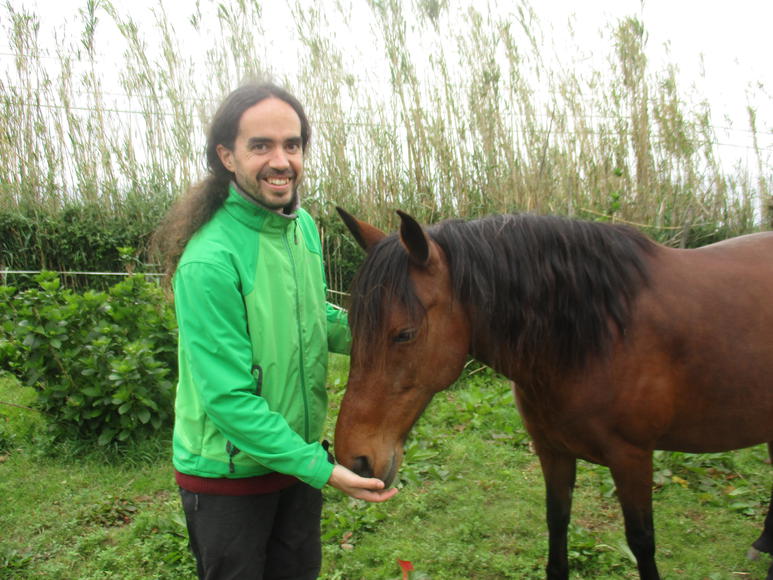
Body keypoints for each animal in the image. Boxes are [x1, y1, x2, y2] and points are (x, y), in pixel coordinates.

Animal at [334, 208, 772, 580]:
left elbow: (641, 540)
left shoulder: (632, 458)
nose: (355, 459)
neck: (603, 334)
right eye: (351, 325)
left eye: (404, 334)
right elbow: (557, 523)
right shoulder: (553, 451)